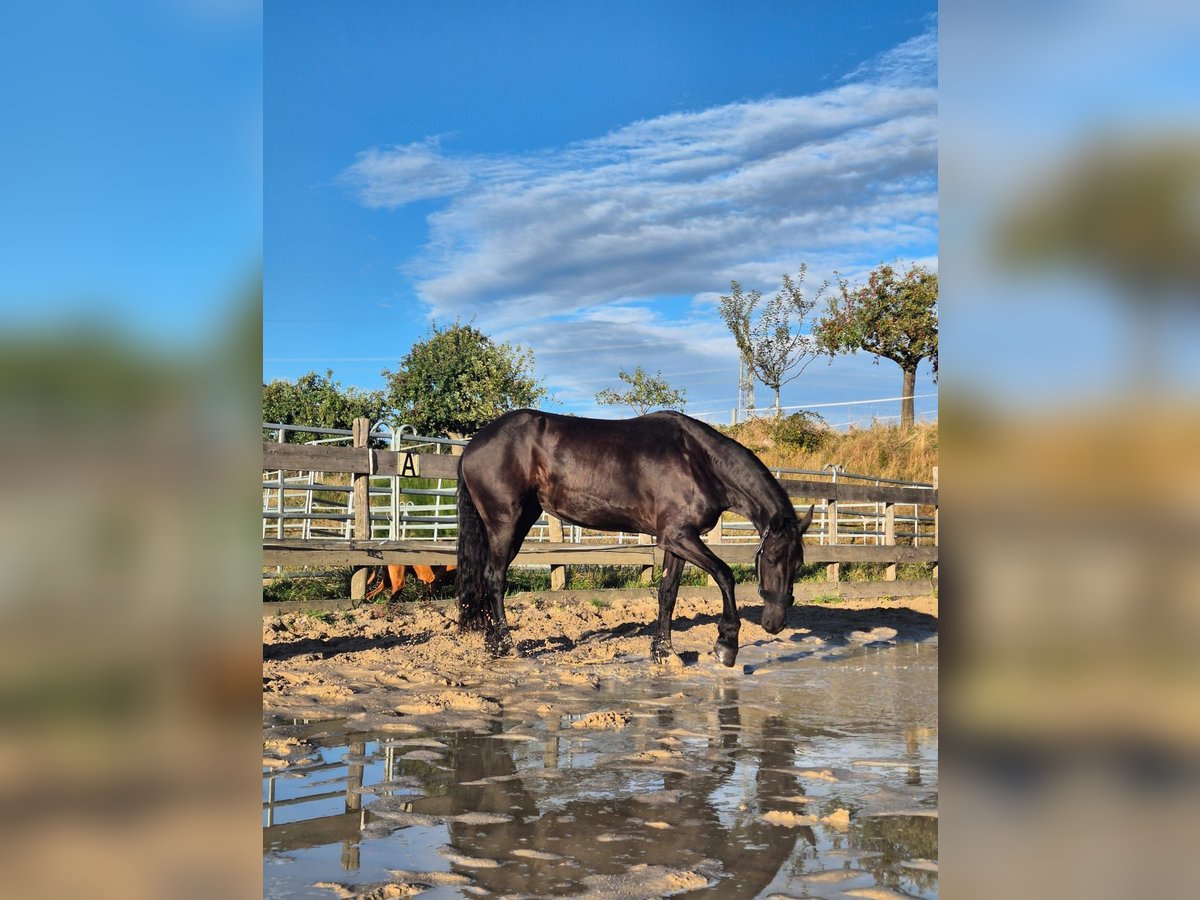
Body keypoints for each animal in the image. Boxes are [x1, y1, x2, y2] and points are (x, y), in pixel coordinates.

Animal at [456, 412, 816, 667]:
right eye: (771, 559)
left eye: (798, 563)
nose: (774, 623)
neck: (698, 460)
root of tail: (474, 444)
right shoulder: (679, 536)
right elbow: (724, 574)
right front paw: (726, 644)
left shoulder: (676, 540)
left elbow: (668, 593)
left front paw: (664, 652)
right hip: (505, 522)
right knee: (495, 578)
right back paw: (506, 645)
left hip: (519, 521)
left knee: (489, 577)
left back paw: (493, 641)